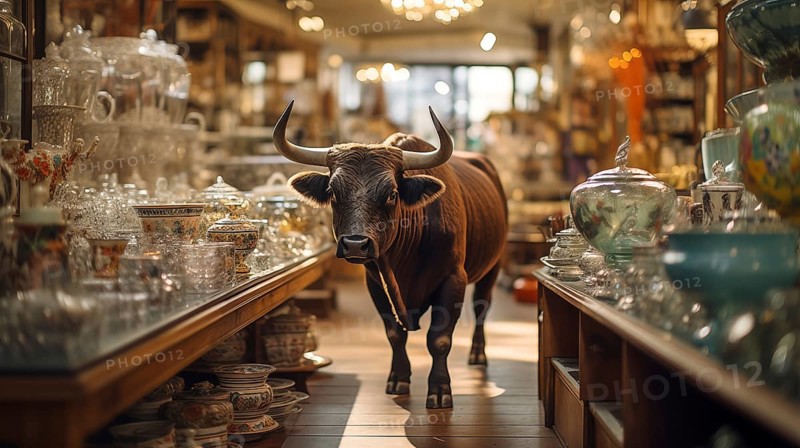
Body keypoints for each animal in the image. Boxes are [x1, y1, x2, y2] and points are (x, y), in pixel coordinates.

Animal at [273, 101, 508, 408]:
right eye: (333, 192)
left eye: (392, 194)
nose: (356, 244)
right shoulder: (376, 283)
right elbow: (395, 334)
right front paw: (398, 378)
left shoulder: (453, 280)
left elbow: (439, 339)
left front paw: (440, 389)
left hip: (493, 267)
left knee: (482, 307)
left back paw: (478, 355)